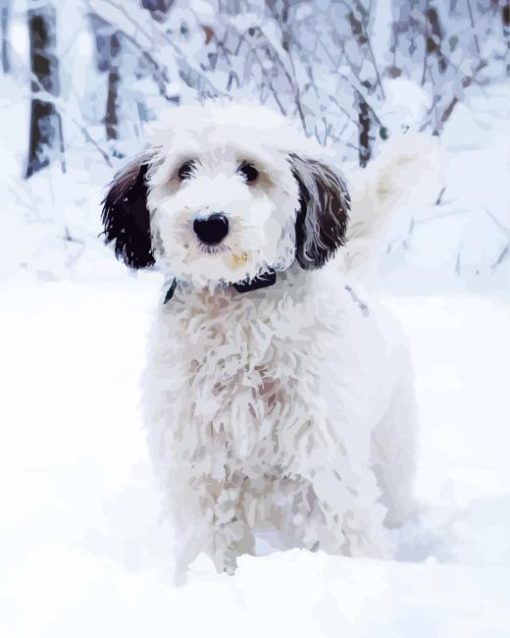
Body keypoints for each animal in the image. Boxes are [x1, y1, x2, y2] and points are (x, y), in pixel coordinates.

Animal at [101, 100, 420, 580]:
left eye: (249, 171)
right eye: (184, 169)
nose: (209, 223)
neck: (238, 305)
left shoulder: (323, 458)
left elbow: (345, 532)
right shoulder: (202, 467)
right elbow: (212, 542)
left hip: (391, 453)